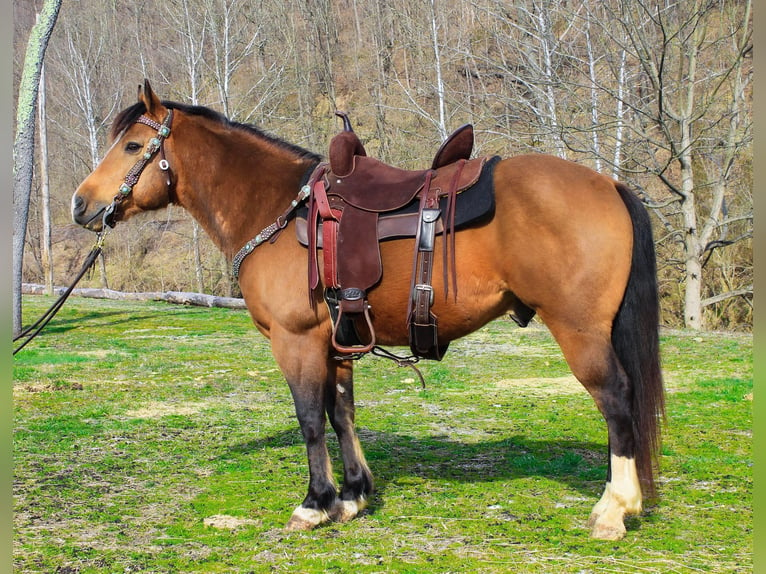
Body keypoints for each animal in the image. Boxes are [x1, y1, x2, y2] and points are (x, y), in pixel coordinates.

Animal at [72, 81, 664, 544]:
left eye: (132, 145)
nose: (81, 205)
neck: (276, 211)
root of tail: (608, 182)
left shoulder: (296, 339)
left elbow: (311, 418)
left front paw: (315, 503)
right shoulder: (337, 339)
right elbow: (342, 413)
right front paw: (354, 495)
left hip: (579, 331)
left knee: (617, 400)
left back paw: (614, 509)